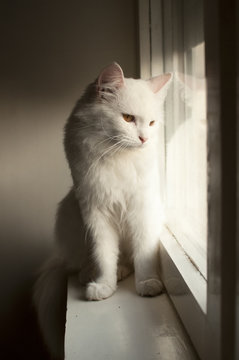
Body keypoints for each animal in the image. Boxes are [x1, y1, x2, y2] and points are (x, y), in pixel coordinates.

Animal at [34, 63, 172, 358]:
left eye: (152, 123)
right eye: (128, 118)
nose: (144, 139)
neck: (118, 157)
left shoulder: (141, 208)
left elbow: (143, 253)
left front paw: (148, 284)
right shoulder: (95, 212)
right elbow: (104, 255)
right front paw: (104, 286)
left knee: (127, 260)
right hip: (69, 213)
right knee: (83, 263)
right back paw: (95, 275)